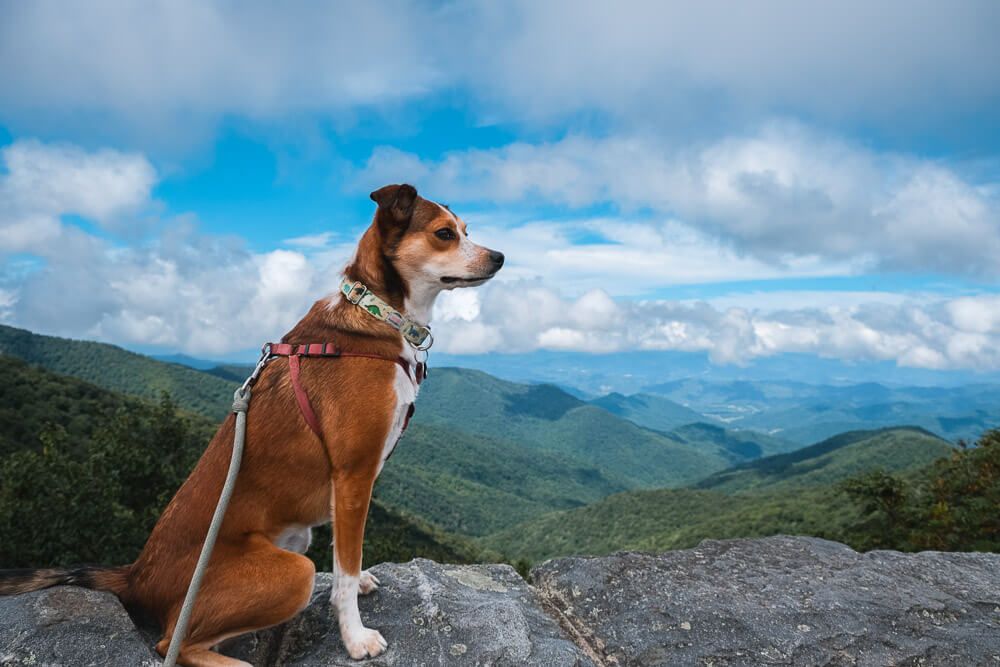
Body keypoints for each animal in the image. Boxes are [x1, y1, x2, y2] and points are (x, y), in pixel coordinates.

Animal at [0, 184, 504, 667]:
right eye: (444, 233)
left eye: (466, 229)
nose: (500, 257)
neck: (376, 311)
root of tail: (135, 574)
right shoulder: (354, 475)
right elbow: (342, 570)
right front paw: (355, 637)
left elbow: (347, 557)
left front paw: (359, 582)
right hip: (293, 572)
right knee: (171, 644)